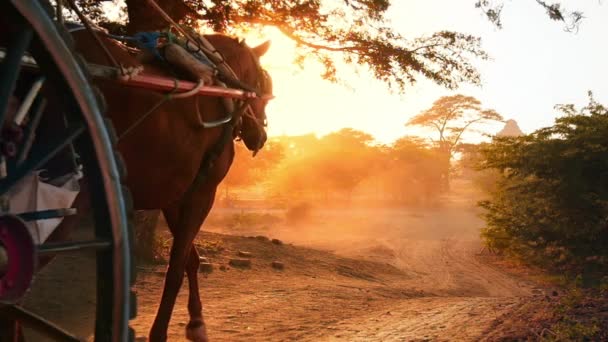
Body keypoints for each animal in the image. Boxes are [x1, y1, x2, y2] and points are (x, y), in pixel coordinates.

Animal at [68, 30, 270, 342]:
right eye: (263, 86)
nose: (260, 136)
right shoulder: (203, 193)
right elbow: (175, 267)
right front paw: (163, 330)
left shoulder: (175, 197)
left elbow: (189, 259)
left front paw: (196, 321)